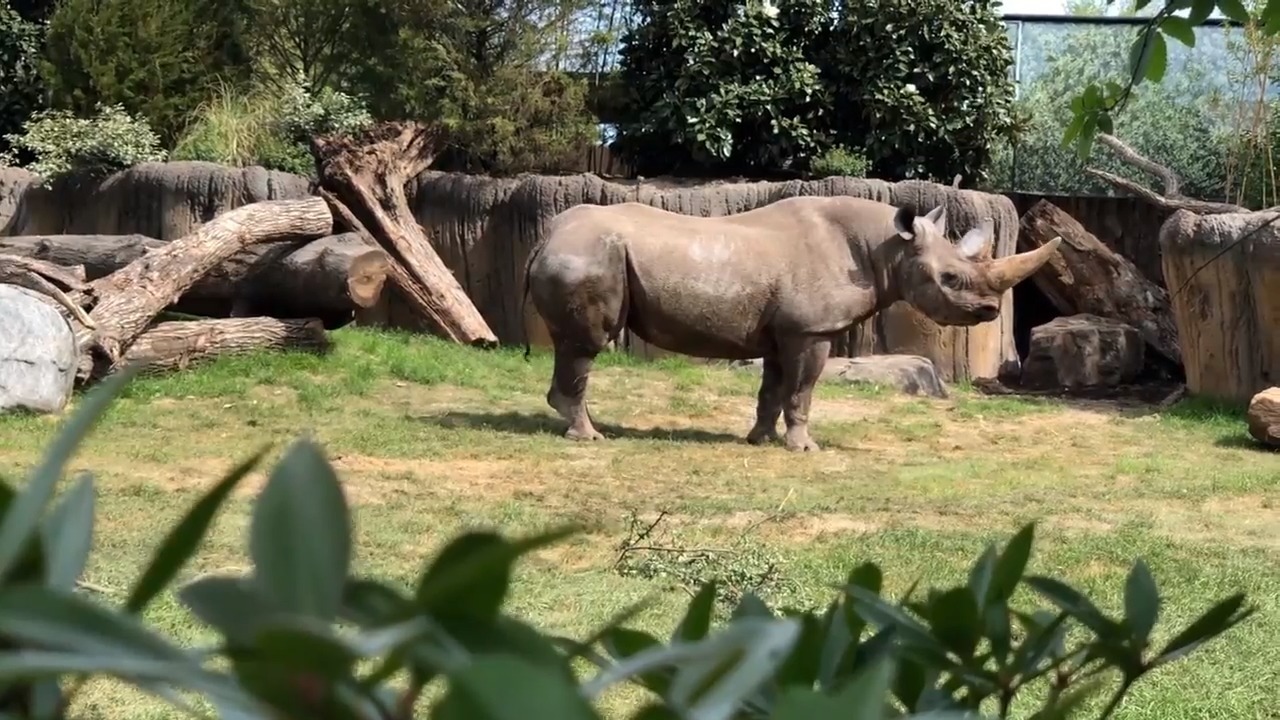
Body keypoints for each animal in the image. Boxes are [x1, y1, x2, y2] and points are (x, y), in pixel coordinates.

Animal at [522, 195, 1061, 451]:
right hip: (586, 258)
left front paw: (759, 439)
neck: (888, 247)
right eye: (950, 278)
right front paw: (805, 447)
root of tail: (546, 237)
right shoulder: (811, 330)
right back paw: (589, 437)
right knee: (585, 345)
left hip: (581, 254)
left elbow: (773, 389)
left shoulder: (783, 331)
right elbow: (801, 390)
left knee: (573, 345)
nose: (990, 312)